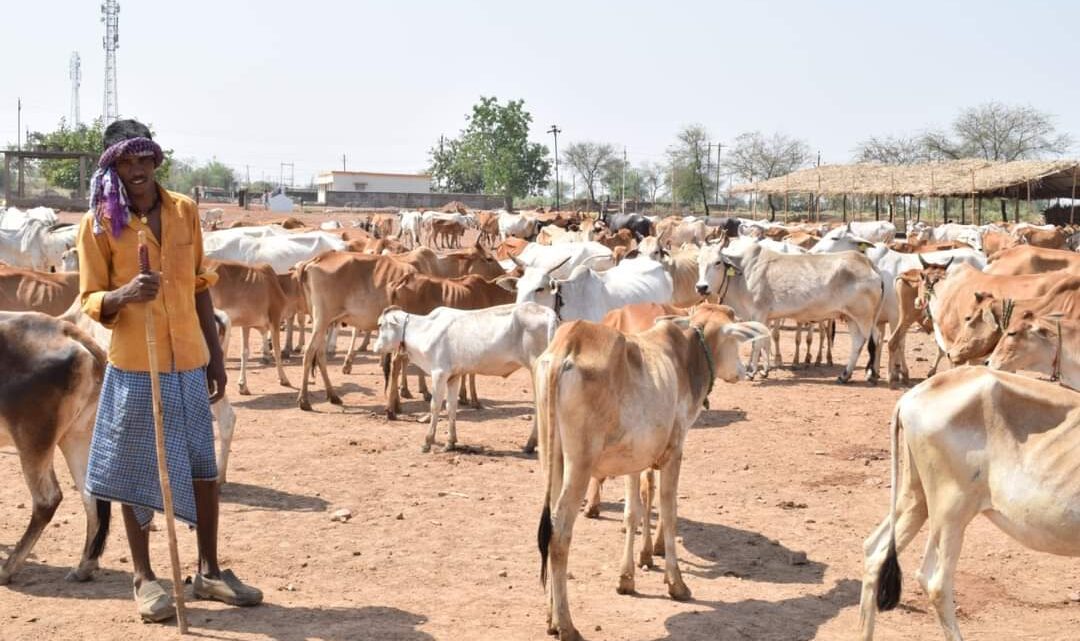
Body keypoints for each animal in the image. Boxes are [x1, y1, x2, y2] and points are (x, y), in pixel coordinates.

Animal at [371, 302, 557, 451]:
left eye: (380, 325)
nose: (375, 347)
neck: (424, 330)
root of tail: (548, 313)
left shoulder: (439, 373)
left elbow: (435, 406)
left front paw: (428, 441)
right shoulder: (454, 376)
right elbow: (451, 407)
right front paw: (450, 442)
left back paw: (531, 444)